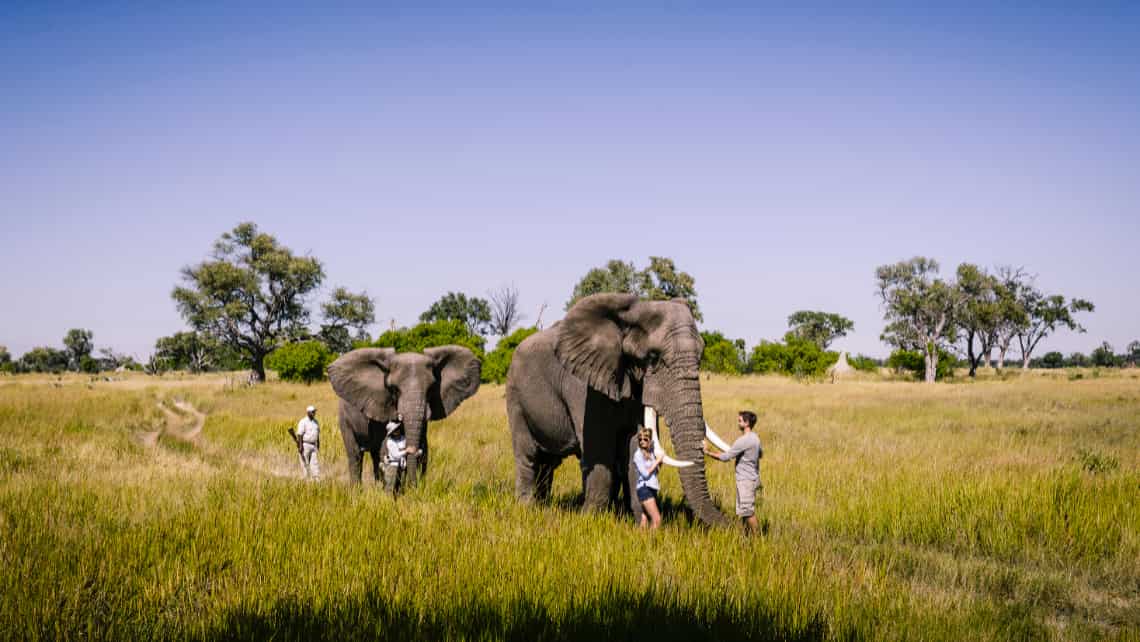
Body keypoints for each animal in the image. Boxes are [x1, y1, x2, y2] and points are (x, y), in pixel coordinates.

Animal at [326, 346, 481, 488]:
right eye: (394, 389)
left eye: (431, 389)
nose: (413, 487)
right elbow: (385, 446)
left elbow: (423, 448)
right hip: (344, 419)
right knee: (356, 454)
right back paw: (357, 491)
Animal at [510, 294, 729, 526]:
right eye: (653, 357)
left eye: (701, 355)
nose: (736, 526)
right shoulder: (582, 385)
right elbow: (598, 450)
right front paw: (589, 520)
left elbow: (635, 446)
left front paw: (643, 522)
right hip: (516, 395)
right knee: (528, 455)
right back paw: (527, 508)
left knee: (548, 462)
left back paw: (543, 504)